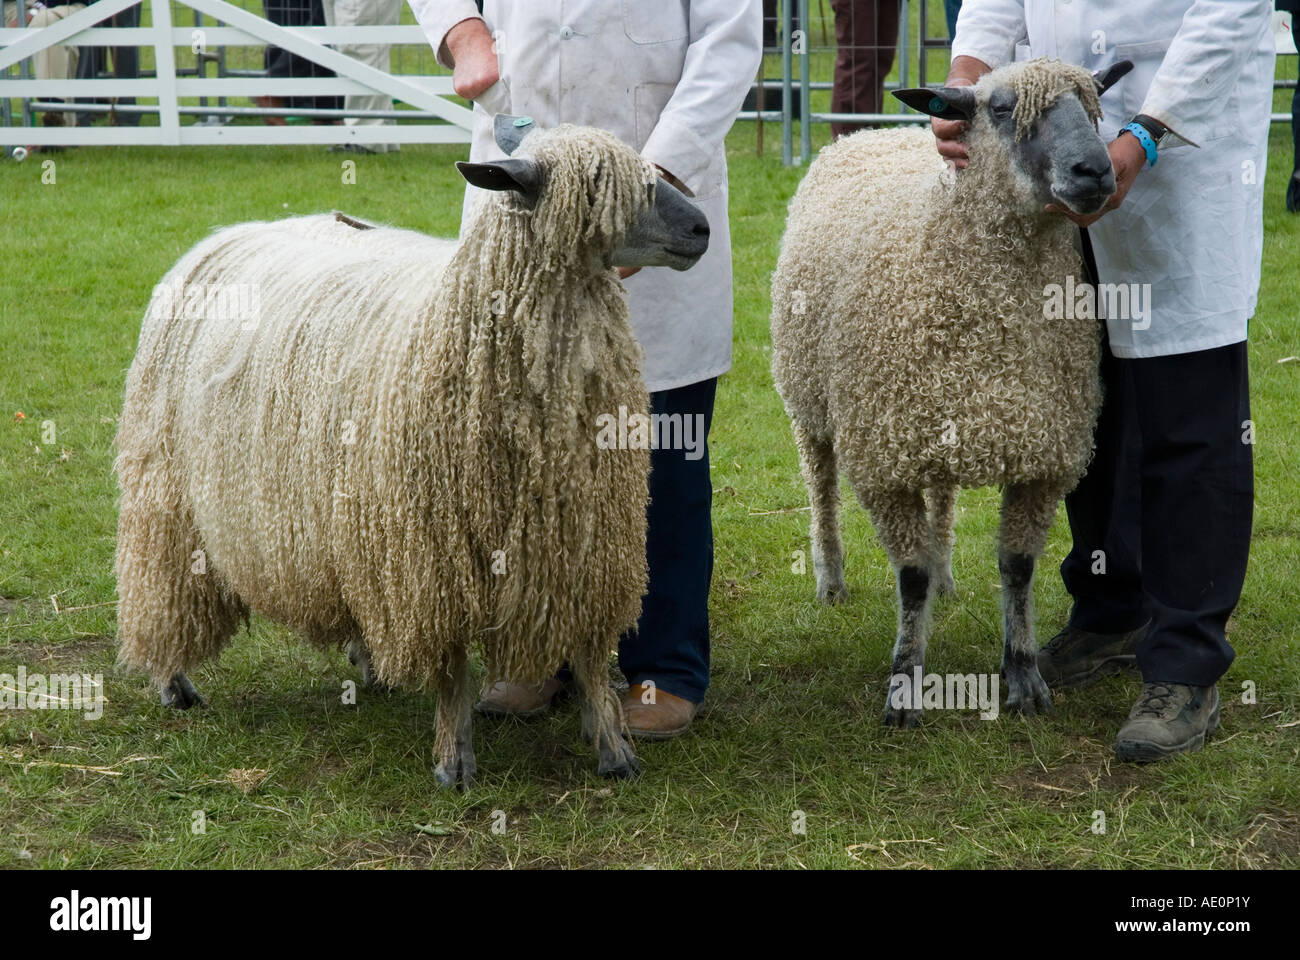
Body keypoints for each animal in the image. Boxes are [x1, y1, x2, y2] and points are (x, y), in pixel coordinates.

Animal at [118, 119, 712, 780]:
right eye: (596, 185)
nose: (702, 229)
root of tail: (227, 234)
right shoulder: (433, 556)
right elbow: (451, 669)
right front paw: (454, 758)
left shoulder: (584, 539)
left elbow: (586, 651)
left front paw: (612, 745)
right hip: (168, 492)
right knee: (162, 582)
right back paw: (173, 683)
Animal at [769, 55, 1128, 723]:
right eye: (1002, 109)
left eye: (1093, 107)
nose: (1095, 170)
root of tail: (871, 133)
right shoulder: (884, 461)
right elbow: (908, 579)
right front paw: (904, 684)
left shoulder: (1041, 456)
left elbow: (1018, 569)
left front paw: (1023, 676)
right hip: (809, 398)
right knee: (821, 488)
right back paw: (831, 580)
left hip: (937, 416)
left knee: (942, 495)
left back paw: (945, 574)